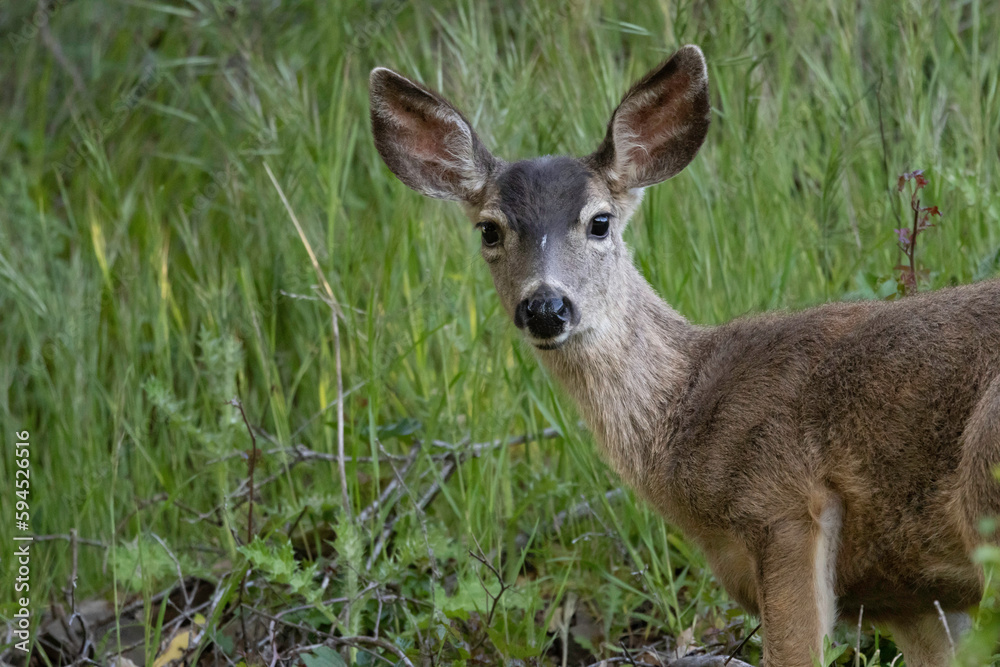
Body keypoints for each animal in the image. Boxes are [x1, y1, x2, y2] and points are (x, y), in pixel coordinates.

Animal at [368, 44, 1000, 664]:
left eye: (600, 221)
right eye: (489, 230)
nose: (546, 307)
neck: (687, 411)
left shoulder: (784, 501)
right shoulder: (910, 598)